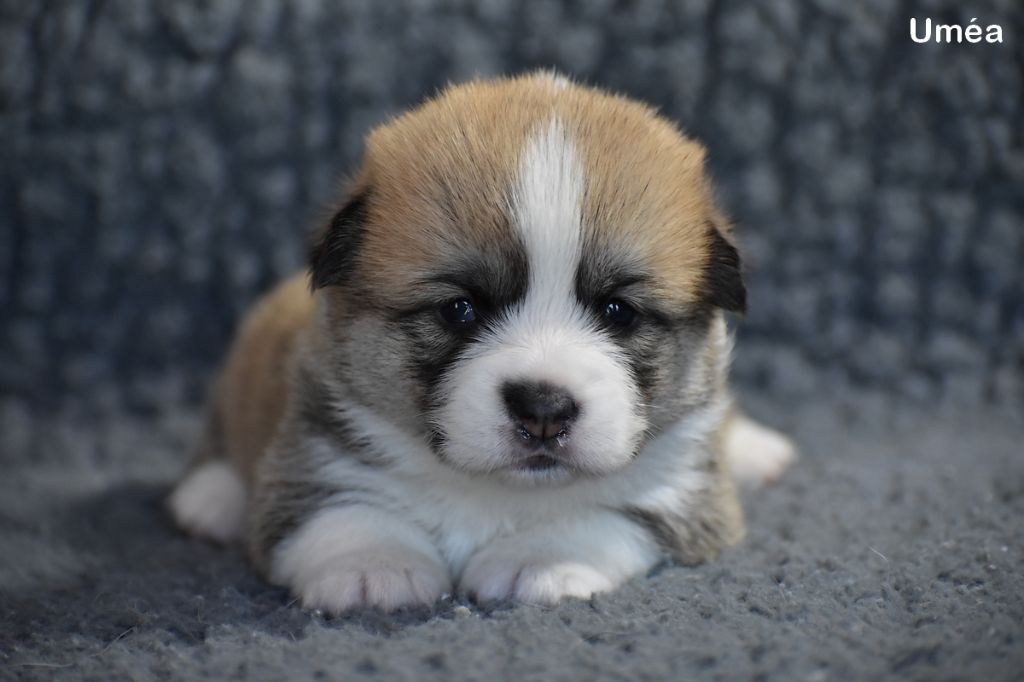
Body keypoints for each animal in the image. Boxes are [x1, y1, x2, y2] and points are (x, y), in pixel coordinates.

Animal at [169, 72, 796, 613]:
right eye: (460, 310)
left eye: (618, 312)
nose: (543, 409)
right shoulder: (312, 456)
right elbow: (340, 508)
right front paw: (375, 563)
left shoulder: (685, 496)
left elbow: (607, 512)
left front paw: (540, 557)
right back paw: (212, 497)